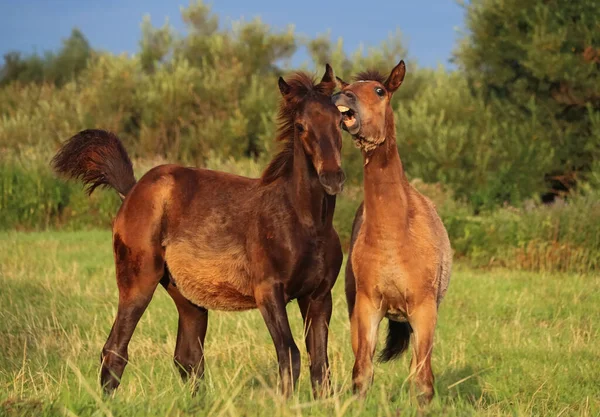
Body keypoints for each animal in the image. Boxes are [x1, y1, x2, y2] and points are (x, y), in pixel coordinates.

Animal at [55, 65, 346, 396]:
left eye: (340, 121)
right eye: (300, 126)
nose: (332, 177)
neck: (306, 223)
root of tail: (131, 191)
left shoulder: (319, 297)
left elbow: (320, 365)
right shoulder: (269, 293)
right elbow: (290, 355)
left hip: (187, 298)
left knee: (188, 358)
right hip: (137, 281)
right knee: (116, 349)